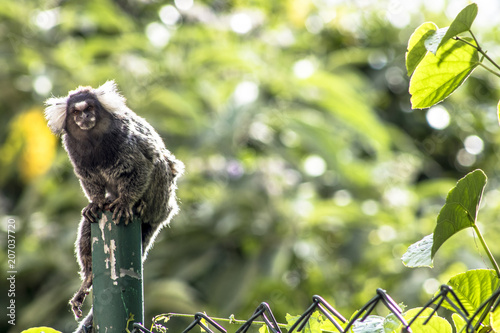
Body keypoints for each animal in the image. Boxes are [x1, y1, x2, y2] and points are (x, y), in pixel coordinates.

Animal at [45, 81, 184, 332]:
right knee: (88, 226)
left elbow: (141, 166)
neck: (93, 140)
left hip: (163, 198)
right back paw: (88, 278)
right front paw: (97, 202)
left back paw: (140, 206)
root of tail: (164, 214)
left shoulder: (124, 140)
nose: (85, 117)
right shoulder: (75, 151)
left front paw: (127, 202)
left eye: (90, 108)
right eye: (76, 112)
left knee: (159, 162)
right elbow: (89, 180)